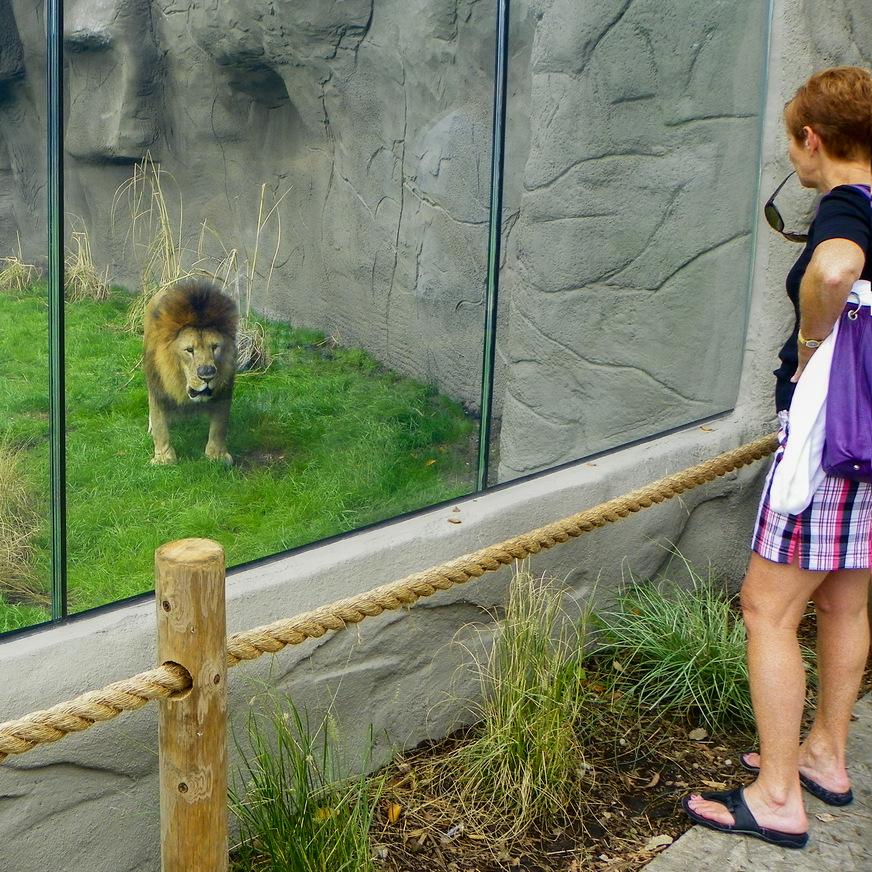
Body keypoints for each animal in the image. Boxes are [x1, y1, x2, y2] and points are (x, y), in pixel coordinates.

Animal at [143, 282, 238, 466]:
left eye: (215, 347)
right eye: (189, 350)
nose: (207, 374)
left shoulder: (223, 391)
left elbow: (219, 426)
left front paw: (217, 455)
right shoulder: (158, 387)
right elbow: (160, 426)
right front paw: (164, 459)